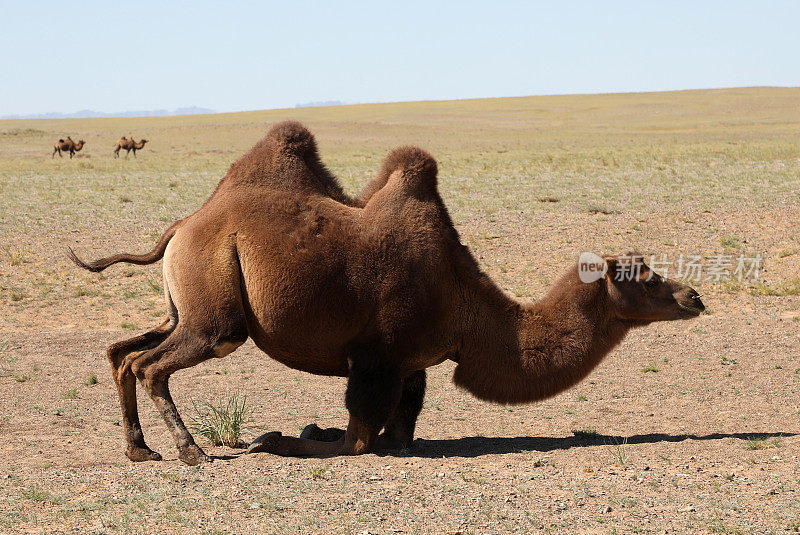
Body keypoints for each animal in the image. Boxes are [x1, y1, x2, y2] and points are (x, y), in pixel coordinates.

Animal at [70, 121, 708, 464]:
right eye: (645, 276)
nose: (694, 297)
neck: (465, 303)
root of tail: (181, 227)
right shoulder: (376, 355)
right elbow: (356, 437)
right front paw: (279, 437)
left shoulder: (412, 363)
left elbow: (400, 429)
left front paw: (303, 432)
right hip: (218, 314)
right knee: (153, 364)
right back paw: (192, 452)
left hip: (186, 301)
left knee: (123, 353)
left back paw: (140, 449)